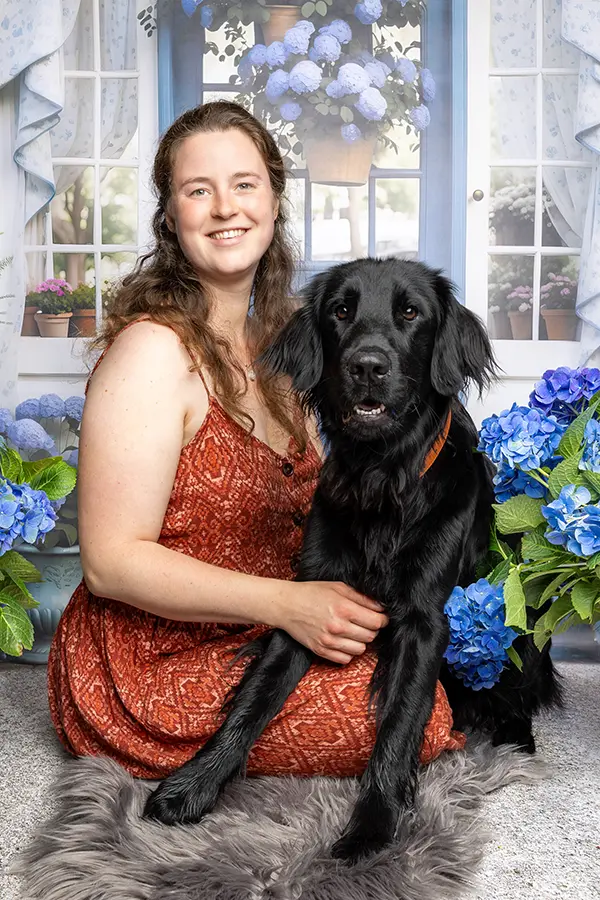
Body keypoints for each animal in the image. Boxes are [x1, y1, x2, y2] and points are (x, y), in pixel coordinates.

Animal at [143, 258, 561, 861]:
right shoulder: (310, 602)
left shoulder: (423, 623)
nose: (367, 365)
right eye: (341, 311)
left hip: (517, 623)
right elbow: (251, 702)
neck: (380, 480)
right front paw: (195, 782)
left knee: (515, 691)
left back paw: (512, 738)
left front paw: (371, 827)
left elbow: (398, 724)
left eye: (410, 312)